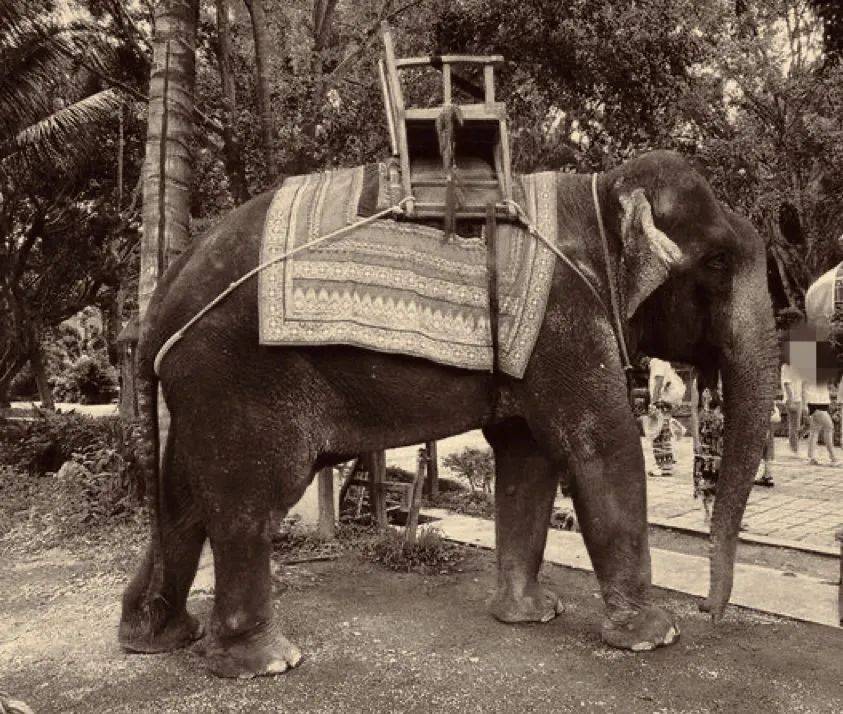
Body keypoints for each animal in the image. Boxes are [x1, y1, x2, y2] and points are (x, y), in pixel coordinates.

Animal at [118, 150, 778, 678]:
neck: (599, 189)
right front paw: (655, 636)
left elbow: (525, 456)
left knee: (182, 499)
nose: (709, 609)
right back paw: (266, 663)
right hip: (240, 376)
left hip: (201, 387)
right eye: (719, 262)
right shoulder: (567, 320)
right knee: (249, 499)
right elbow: (602, 448)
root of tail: (158, 304)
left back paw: (155, 638)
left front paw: (531, 616)